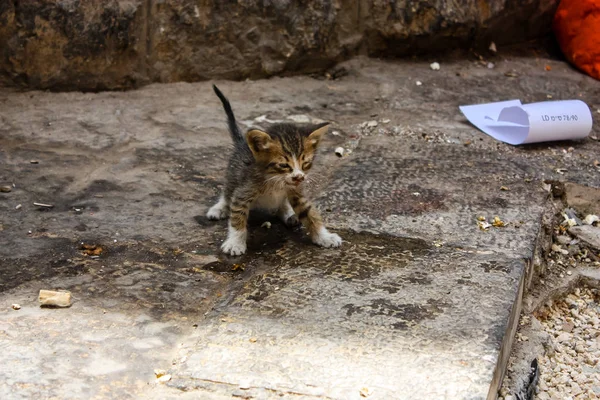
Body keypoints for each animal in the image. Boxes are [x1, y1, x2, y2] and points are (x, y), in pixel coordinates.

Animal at [207, 86, 342, 256]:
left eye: (305, 163)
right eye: (284, 165)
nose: (299, 177)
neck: (276, 180)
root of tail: (242, 143)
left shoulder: (297, 192)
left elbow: (310, 214)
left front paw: (324, 236)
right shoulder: (243, 191)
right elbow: (237, 216)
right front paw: (235, 243)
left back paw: (288, 213)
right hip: (233, 174)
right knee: (227, 193)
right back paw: (219, 208)